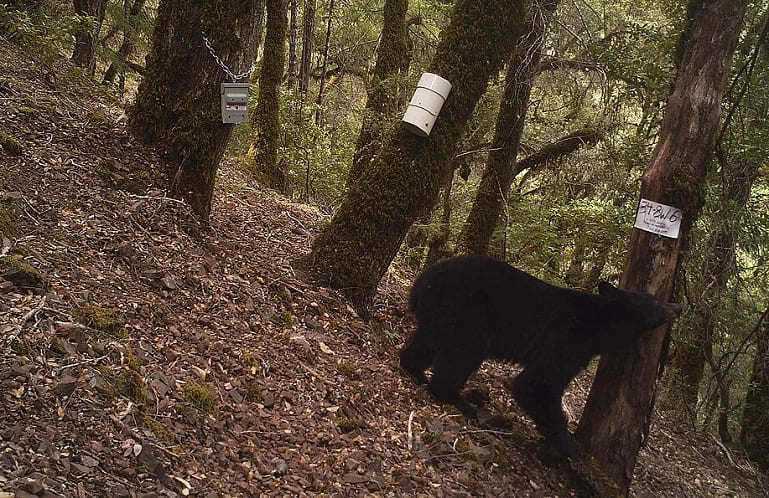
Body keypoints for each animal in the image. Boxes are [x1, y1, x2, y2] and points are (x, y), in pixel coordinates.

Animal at [400, 255, 682, 457]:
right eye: (657, 302)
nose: (678, 306)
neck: (599, 324)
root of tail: (422, 280)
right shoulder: (568, 344)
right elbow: (537, 383)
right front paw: (567, 444)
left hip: (440, 315)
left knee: (425, 344)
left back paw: (417, 372)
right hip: (464, 311)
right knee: (464, 352)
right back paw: (461, 401)